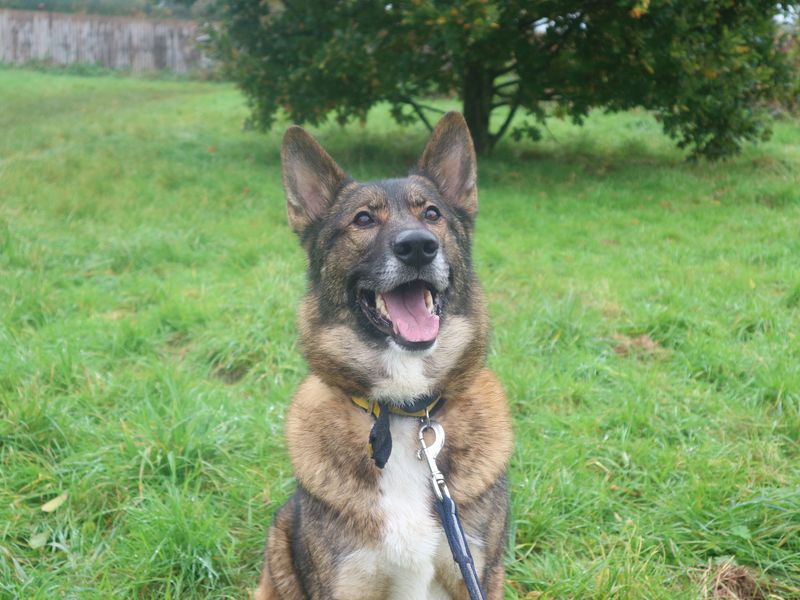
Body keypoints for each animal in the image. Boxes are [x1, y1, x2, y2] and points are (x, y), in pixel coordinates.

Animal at [260, 112, 516, 600]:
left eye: (432, 214)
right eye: (362, 219)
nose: (418, 246)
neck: (402, 413)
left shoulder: (477, 572)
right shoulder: (345, 584)